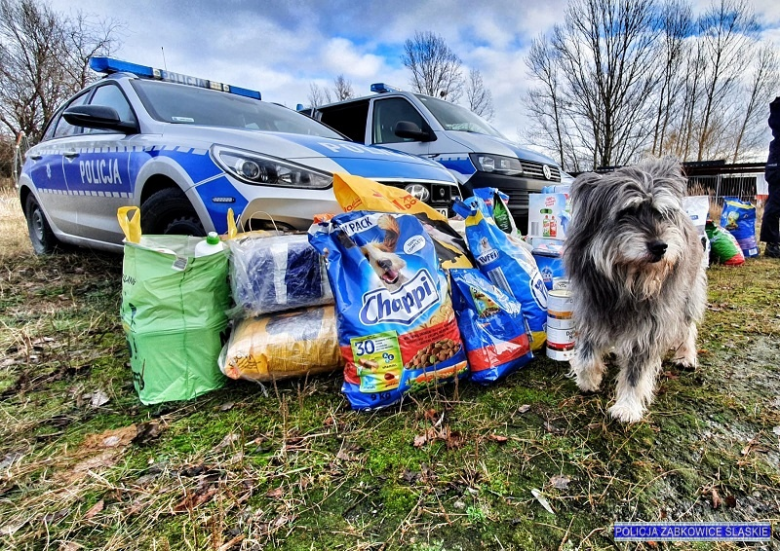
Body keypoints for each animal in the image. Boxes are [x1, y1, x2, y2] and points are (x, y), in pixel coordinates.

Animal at [564, 157, 708, 424]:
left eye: (662, 214)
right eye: (627, 212)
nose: (661, 247)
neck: (626, 277)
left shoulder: (650, 326)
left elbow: (635, 372)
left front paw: (627, 406)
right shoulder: (591, 307)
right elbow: (587, 351)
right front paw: (588, 378)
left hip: (688, 294)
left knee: (687, 327)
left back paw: (686, 355)